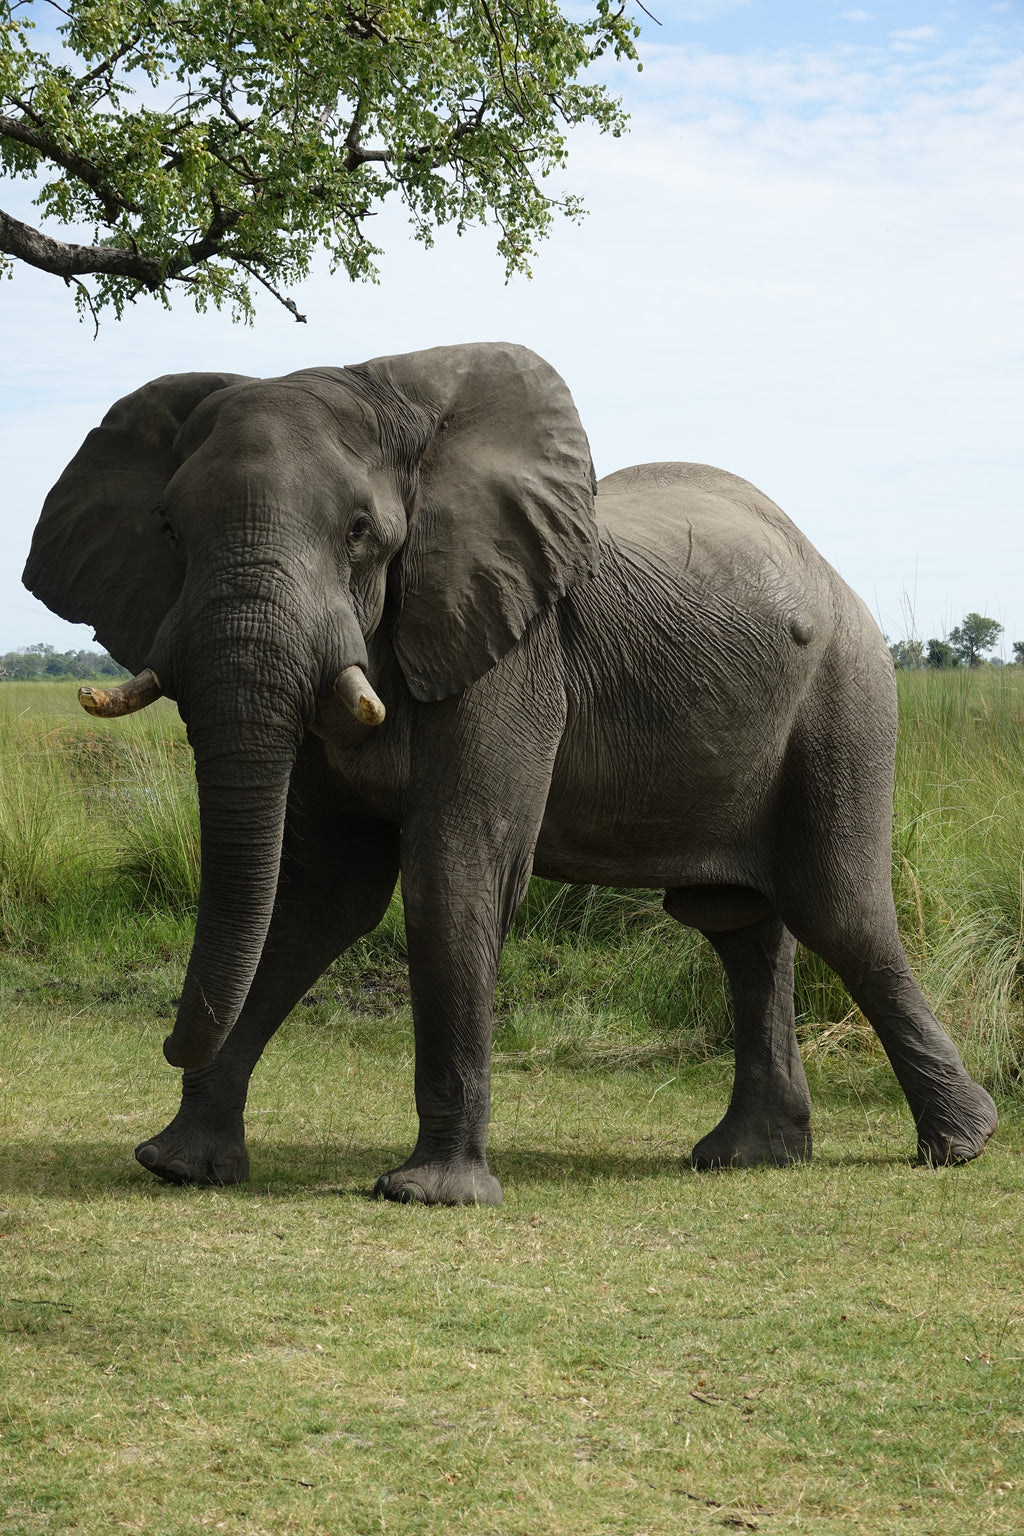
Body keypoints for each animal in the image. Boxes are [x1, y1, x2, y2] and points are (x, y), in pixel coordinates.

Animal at [23, 342, 996, 1203]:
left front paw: (428, 1195)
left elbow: (453, 874)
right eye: (168, 530)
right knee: (739, 923)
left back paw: (960, 1145)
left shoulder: (513, 652)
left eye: (361, 533)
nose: (166, 1043)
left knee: (840, 911)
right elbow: (319, 895)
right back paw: (749, 1157)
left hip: (847, 696)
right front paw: (178, 1166)